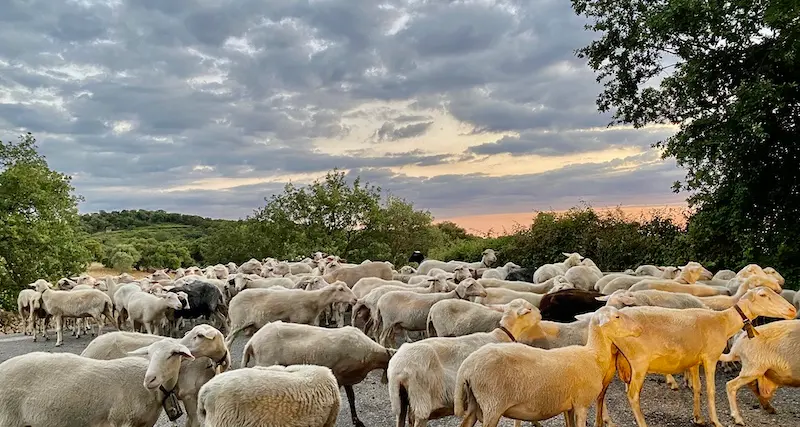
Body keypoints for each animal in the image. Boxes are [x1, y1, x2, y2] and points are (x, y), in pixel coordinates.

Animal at [225, 280, 356, 348]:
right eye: (341, 289)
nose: (355, 299)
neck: (314, 300)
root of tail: (233, 299)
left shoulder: (310, 322)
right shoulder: (297, 321)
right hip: (237, 323)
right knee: (227, 341)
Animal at [242, 322, 396, 427]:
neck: (371, 355)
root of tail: (252, 342)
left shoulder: (347, 377)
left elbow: (352, 398)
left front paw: (357, 421)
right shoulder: (339, 375)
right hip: (266, 362)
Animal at [454, 306, 640, 427]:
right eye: (617, 317)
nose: (639, 329)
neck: (593, 355)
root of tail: (466, 367)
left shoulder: (569, 406)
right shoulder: (581, 404)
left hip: (474, 404)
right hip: (492, 406)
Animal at [612, 288, 792, 427]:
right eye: (763, 295)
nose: (792, 310)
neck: (724, 322)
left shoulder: (694, 361)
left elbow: (697, 388)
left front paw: (698, 418)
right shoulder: (710, 358)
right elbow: (711, 390)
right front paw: (716, 421)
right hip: (639, 363)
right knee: (633, 395)